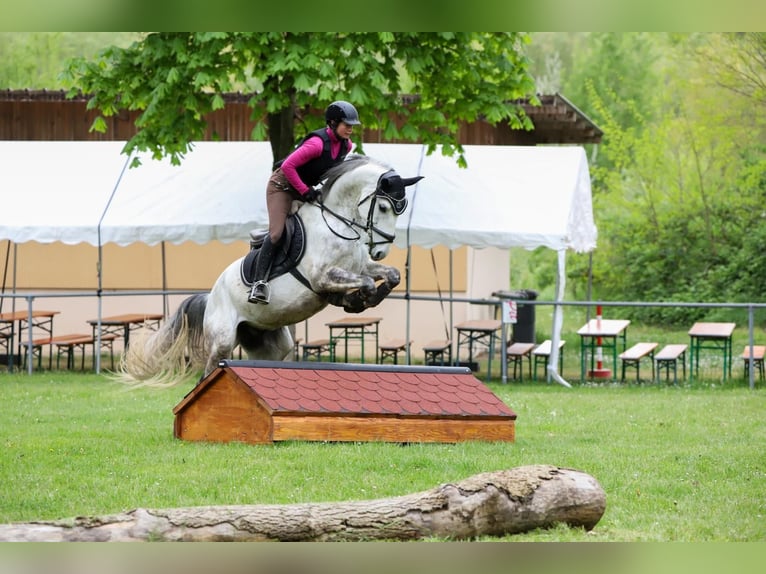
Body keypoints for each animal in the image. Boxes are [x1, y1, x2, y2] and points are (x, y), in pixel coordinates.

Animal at [120, 154, 423, 384]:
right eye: (383, 207)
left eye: (401, 209)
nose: (381, 250)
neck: (338, 223)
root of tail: (210, 297)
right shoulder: (323, 277)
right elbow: (365, 283)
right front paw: (357, 300)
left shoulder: (362, 266)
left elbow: (391, 275)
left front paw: (364, 299)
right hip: (223, 340)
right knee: (208, 372)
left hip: (268, 343)